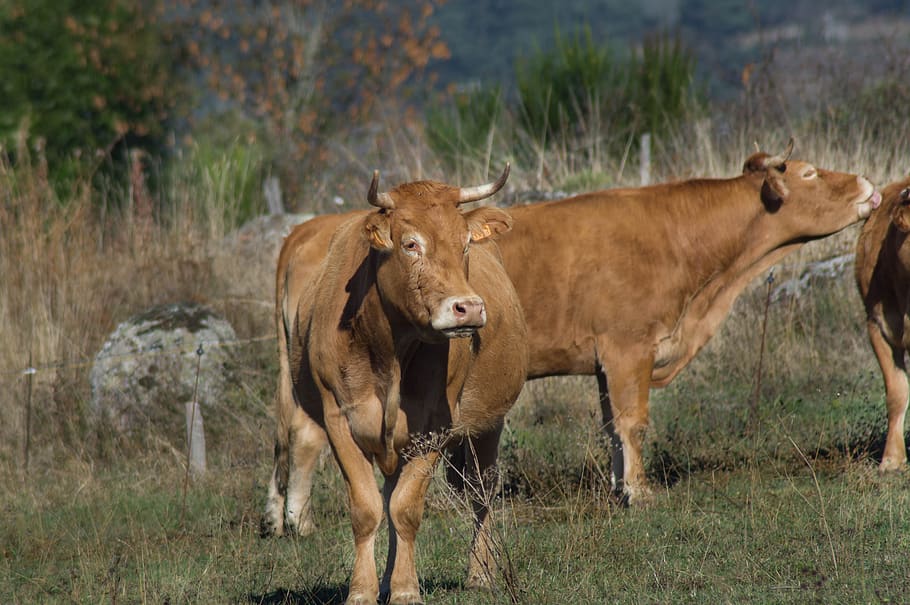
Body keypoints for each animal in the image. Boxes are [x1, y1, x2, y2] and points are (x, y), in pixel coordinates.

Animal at [262, 140, 881, 522]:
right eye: (810, 173)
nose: (870, 186)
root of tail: (307, 229)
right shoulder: (629, 347)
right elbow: (633, 423)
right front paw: (640, 493)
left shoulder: (610, 361)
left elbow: (612, 428)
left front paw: (619, 486)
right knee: (306, 435)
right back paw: (298, 520)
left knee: (287, 432)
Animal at [263, 165, 528, 604]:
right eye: (410, 244)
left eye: (465, 244)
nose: (468, 308)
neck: (389, 352)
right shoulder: (339, 419)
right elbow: (369, 509)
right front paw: (364, 590)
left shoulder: (436, 427)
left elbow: (405, 509)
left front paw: (406, 589)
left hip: (486, 426)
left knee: (480, 492)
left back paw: (479, 572)